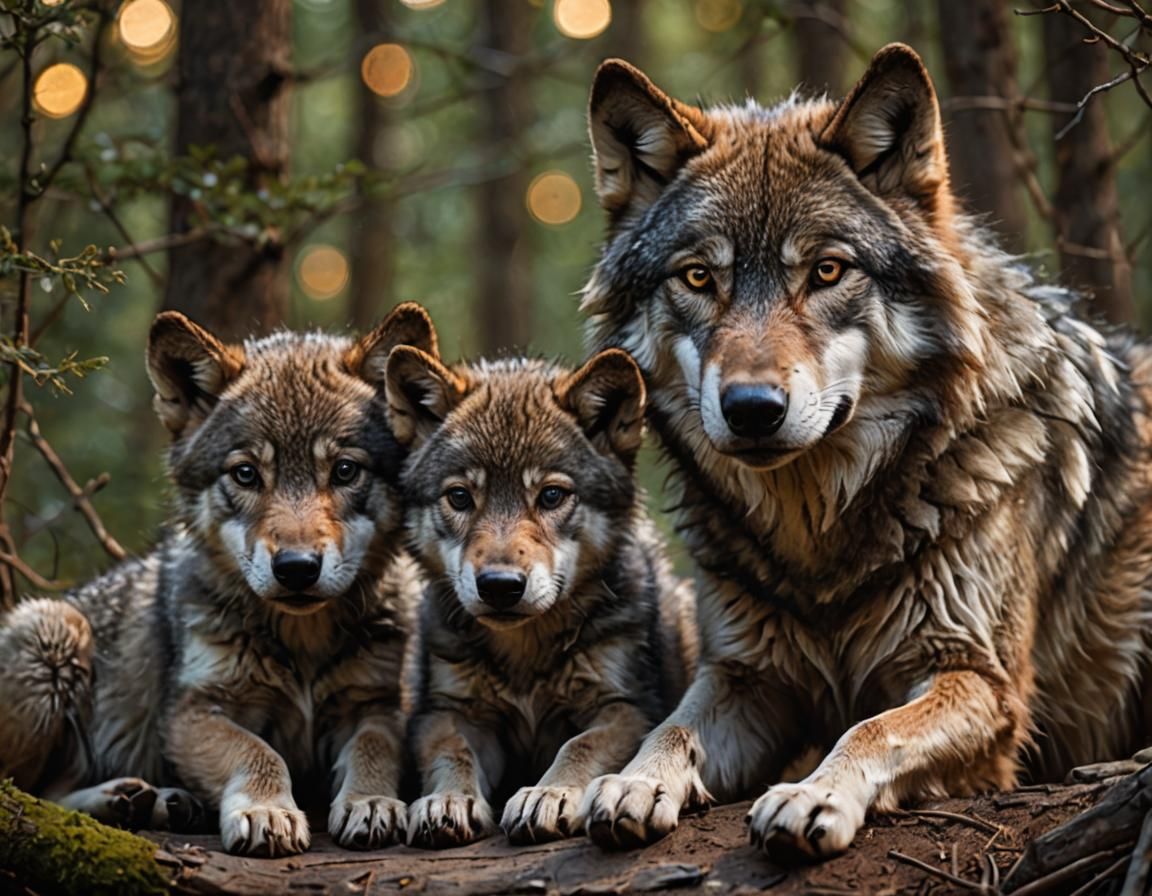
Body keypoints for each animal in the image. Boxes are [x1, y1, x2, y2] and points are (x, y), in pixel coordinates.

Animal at [0, 303, 437, 856]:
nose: (297, 567)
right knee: (35, 791)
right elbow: (259, 753)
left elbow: (374, 749)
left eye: (343, 471)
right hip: (55, 628)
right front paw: (266, 811)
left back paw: (150, 801)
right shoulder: (194, 712)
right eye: (246, 474)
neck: (303, 643)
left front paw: (371, 802)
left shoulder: (375, 703)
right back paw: (130, 798)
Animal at [384, 347, 695, 848]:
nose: (500, 585)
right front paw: (447, 800)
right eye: (459, 497)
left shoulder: (626, 706)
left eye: (551, 496)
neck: (526, 654)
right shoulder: (450, 712)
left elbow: (577, 745)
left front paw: (547, 794)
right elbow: (454, 752)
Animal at [576, 44, 1152, 858]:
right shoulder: (747, 673)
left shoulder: (980, 678)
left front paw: (812, 795)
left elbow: (872, 729)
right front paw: (631, 781)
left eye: (826, 270)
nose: (752, 410)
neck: (818, 544)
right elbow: (672, 728)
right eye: (698, 277)